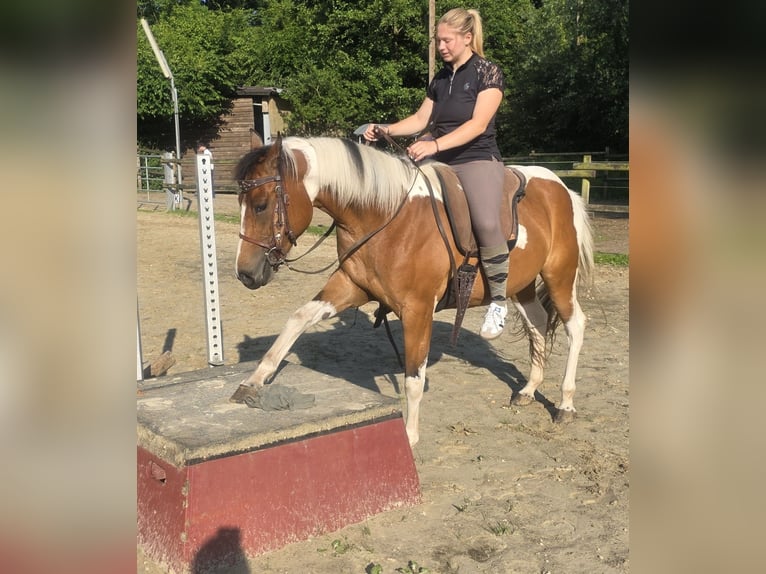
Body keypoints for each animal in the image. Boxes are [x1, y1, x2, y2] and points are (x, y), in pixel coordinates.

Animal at [231, 135, 594, 447]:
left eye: (261, 205)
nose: (245, 274)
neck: (385, 217)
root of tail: (561, 187)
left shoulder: (418, 310)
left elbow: (413, 379)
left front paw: (409, 435)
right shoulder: (351, 287)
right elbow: (298, 318)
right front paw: (254, 380)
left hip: (559, 277)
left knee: (575, 326)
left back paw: (565, 404)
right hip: (522, 286)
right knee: (537, 323)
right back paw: (529, 390)